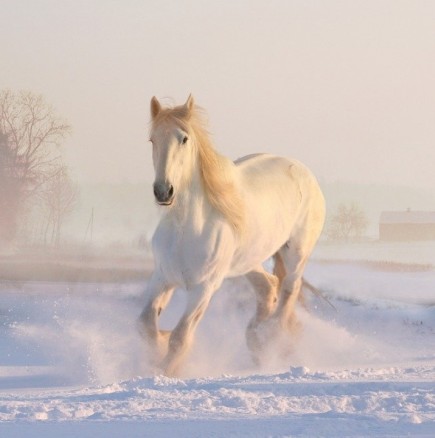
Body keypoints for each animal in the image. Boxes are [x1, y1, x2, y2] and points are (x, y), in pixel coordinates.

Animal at [138, 96, 326, 376]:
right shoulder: (162, 277)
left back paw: (271, 338)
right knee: (268, 287)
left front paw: (166, 370)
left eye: (184, 139)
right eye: (153, 140)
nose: (163, 191)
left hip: (296, 253)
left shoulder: (204, 288)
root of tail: (304, 172)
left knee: (289, 290)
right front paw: (159, 346)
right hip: (247, 261)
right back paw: (256, 339)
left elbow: (180, 337)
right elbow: (146, 326)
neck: (186, 229)